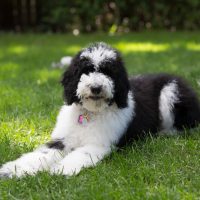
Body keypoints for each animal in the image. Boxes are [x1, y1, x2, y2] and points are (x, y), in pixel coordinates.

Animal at [0, 42, 200, 178]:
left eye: (108, 72)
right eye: (85, 70)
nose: (96, 87)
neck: (90, 114)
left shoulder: (99, 144)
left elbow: (80, 154)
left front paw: (60, 169)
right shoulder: (62, 139)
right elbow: (41, 154)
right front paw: (13, 169)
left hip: (170, 92)